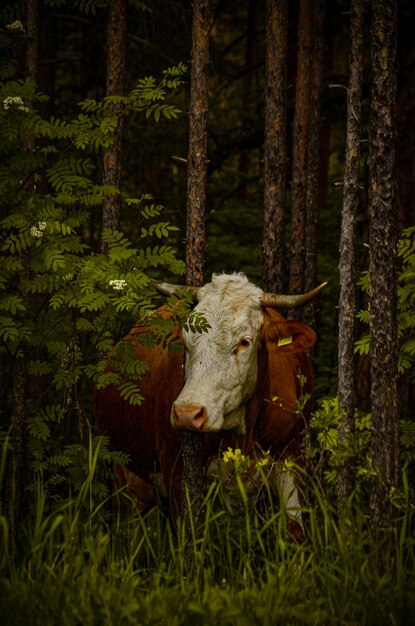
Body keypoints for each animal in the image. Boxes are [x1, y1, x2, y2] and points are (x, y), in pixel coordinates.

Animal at [95, 270, 324, 528]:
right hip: (122, 471)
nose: (186, 413)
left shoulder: (289, 458)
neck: (242, 432)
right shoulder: (176, 469)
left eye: (244, 342)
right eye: (185, 341)